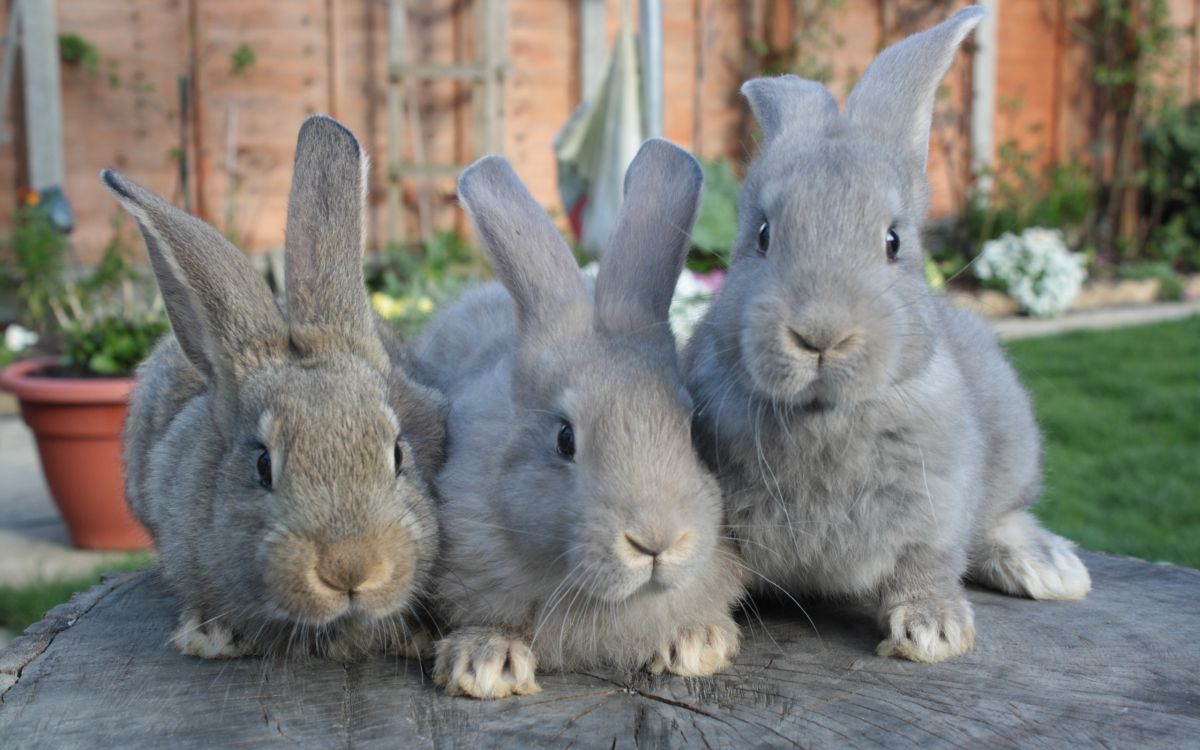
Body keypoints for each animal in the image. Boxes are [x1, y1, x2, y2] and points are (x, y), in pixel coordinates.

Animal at [686, 5, 1089, 662]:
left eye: (894, 241)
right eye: (763, 235)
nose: (820, 335)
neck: (823, 418)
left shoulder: (938, 505)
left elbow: (926, 565)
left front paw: (933, 633)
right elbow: (707, 575)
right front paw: (692, 641)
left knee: (1001, 521)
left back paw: (1049, 569)